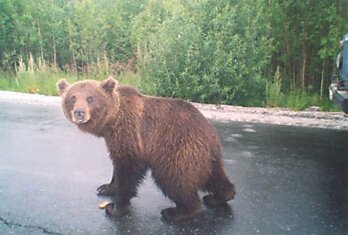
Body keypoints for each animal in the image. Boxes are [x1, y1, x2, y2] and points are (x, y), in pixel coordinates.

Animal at [57, 76, 235, 221]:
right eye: (72, 98)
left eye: (90, 98)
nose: (79, 112)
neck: (110, 122)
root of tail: (209, 133)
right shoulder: (116, 139)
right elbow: (117, 165)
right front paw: (106, 187)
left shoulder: (129, 133)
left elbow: (129, 168)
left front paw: (114, 207)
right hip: (206, 157)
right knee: (215, 176)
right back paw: (219, 197)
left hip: (178, 149)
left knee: (172, 178)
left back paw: (177, 212)